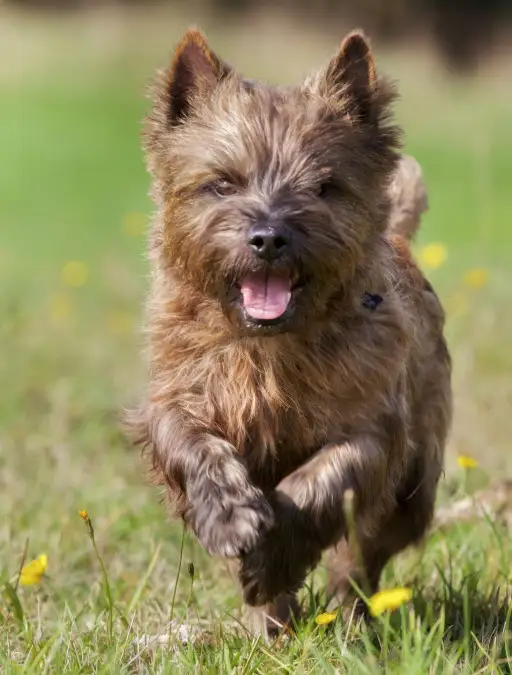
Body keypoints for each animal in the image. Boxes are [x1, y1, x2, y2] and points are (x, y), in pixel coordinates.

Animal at [125, 27, 452, 640]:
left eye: (324, 187)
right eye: (221, 184)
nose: (269, 236)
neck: (268, 348)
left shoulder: (373, 424)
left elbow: (324, 481)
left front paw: (273, 559)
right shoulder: (178, 392)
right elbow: (190, 441)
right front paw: (231, 517)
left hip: (415, 482)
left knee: (365, 553)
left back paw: (345, 615)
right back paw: (270, 623)